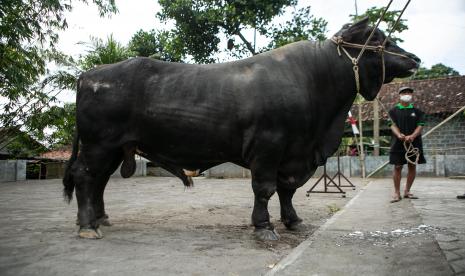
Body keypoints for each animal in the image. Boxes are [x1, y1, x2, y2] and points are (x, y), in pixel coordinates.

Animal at [63, 19, 418, 239]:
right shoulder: (269, 146)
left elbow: (287, 191)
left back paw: (98, 219)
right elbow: (265, 188)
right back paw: (87, 225)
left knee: (98, 181)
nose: (414, 58)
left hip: (112, 148)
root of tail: (90, 74)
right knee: (85, 177)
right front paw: (263, 227)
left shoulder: (293, 153)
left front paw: (293, 221)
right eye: (377, 39)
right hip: (99, 144)